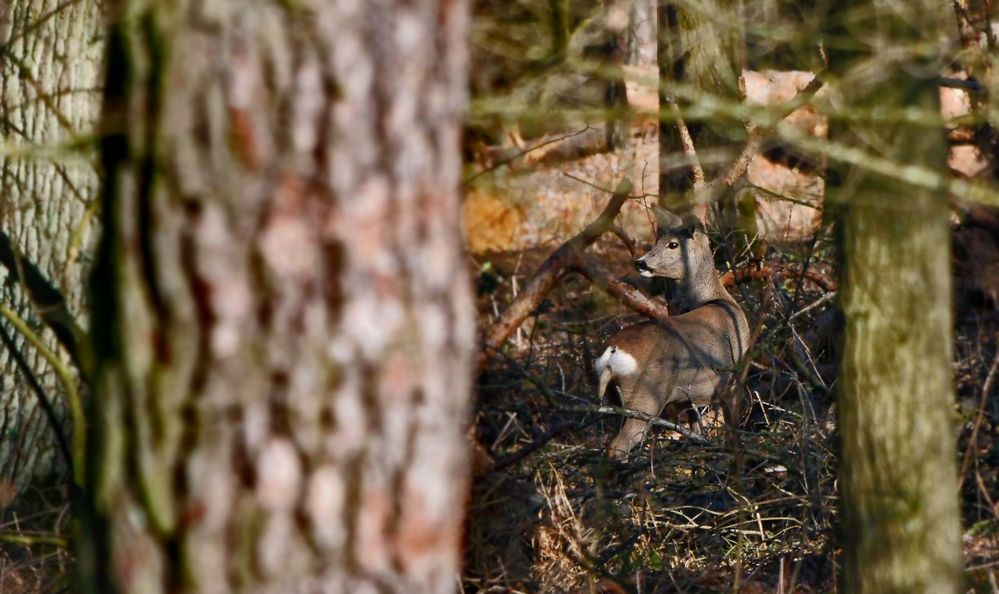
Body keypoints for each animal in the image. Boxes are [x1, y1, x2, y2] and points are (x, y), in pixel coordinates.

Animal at [592, 207, 752, 458]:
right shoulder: (734, 379)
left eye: (672, 244)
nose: (641, 262)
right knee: (618, 446)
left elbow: (699, 431)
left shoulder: (689, 399)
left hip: (615, 397)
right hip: (646, 396)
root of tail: (612, 352)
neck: (717, 299)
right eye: (658, 240)